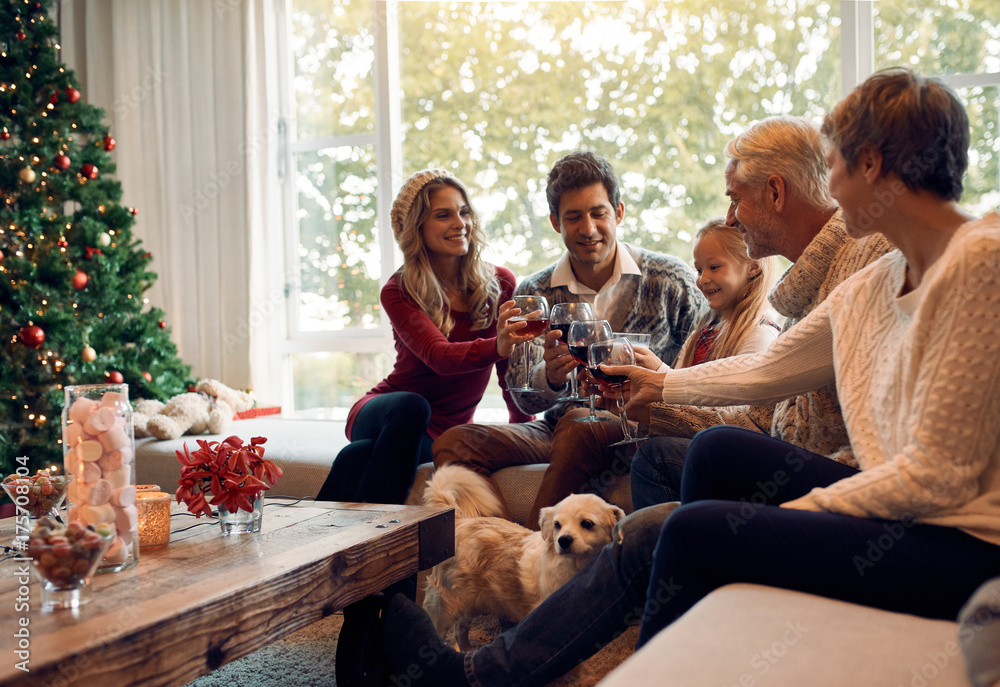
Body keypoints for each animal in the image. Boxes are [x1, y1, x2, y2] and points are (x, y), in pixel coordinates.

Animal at [422, 462, 624, 652]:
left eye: (587, 523)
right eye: (557, 525)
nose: (563, 540)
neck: (577, 568)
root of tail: (461, 521)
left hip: (470, 604)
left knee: (459, 630)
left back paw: (466, 651)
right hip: (445, 608)